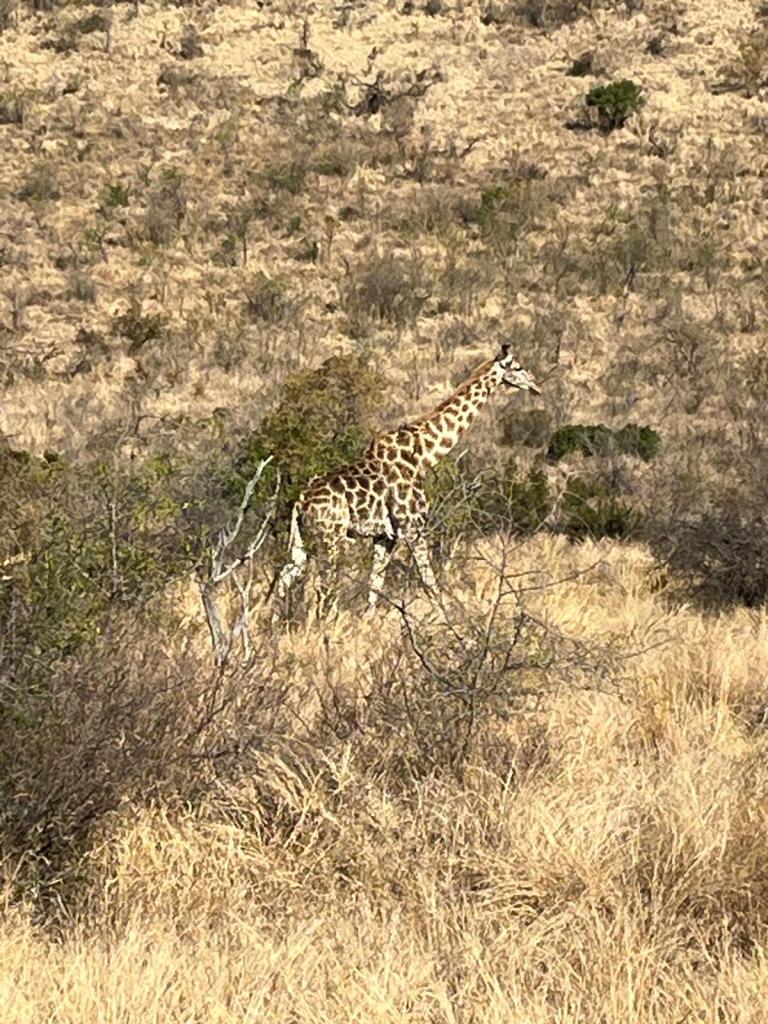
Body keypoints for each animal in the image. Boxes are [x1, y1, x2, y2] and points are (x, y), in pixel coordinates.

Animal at [274, 344, 540, 616]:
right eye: (518, 367)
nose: (535, 385)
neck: (423, 455)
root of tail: (300, 503)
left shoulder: (386, 536)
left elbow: (375, 587)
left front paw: (368, 621)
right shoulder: (413, 528)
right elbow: (429, 583)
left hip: (302, 540)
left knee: (286, 577)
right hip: (331, 538)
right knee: (323, 587)